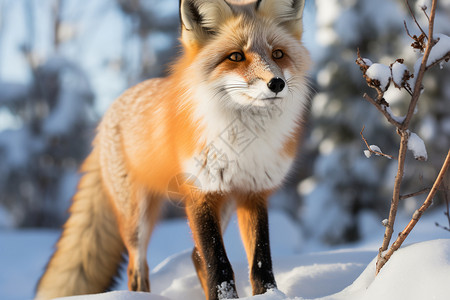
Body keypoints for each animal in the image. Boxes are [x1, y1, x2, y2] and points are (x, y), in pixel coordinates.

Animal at [36, 0, 310, 300]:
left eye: (278, 54)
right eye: (236, 56)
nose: (276, 83)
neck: (243, 144)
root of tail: (110, 111)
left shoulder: (254, 192)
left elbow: (261, 261)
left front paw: (269, 294)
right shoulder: (199, 193)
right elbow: (219, 264)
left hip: (223, 203)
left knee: (194, 257)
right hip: (137, 219)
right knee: (138, 270)